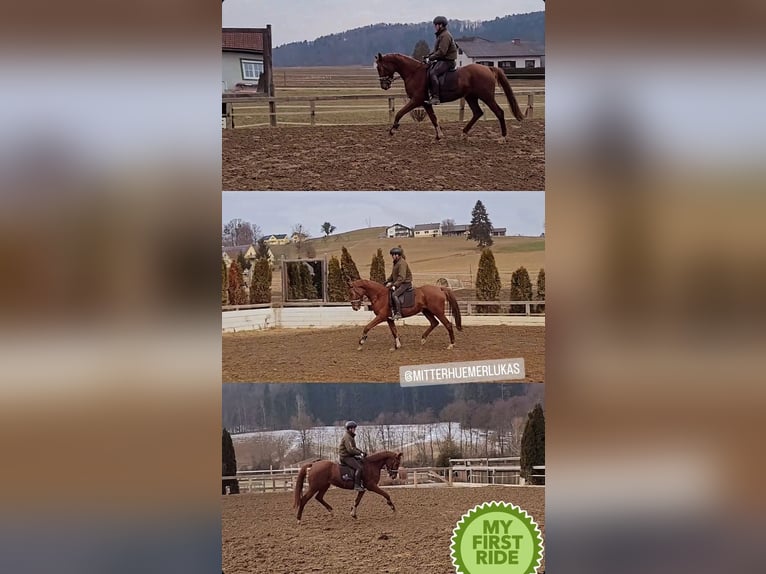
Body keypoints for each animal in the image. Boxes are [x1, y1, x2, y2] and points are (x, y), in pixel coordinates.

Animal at [374, 52, 528, 142]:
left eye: (380, 67)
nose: (384, 85)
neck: (414, 72)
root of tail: (488, 68)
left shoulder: (416, 100)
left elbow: (400, 113)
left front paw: (393, 129)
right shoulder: (425, 103)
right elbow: (433, 118)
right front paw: (439, 135)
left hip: (487, 97)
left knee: (499, 112)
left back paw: (503, 137)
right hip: (471, 97)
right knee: (477, 112)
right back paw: (464, 133)